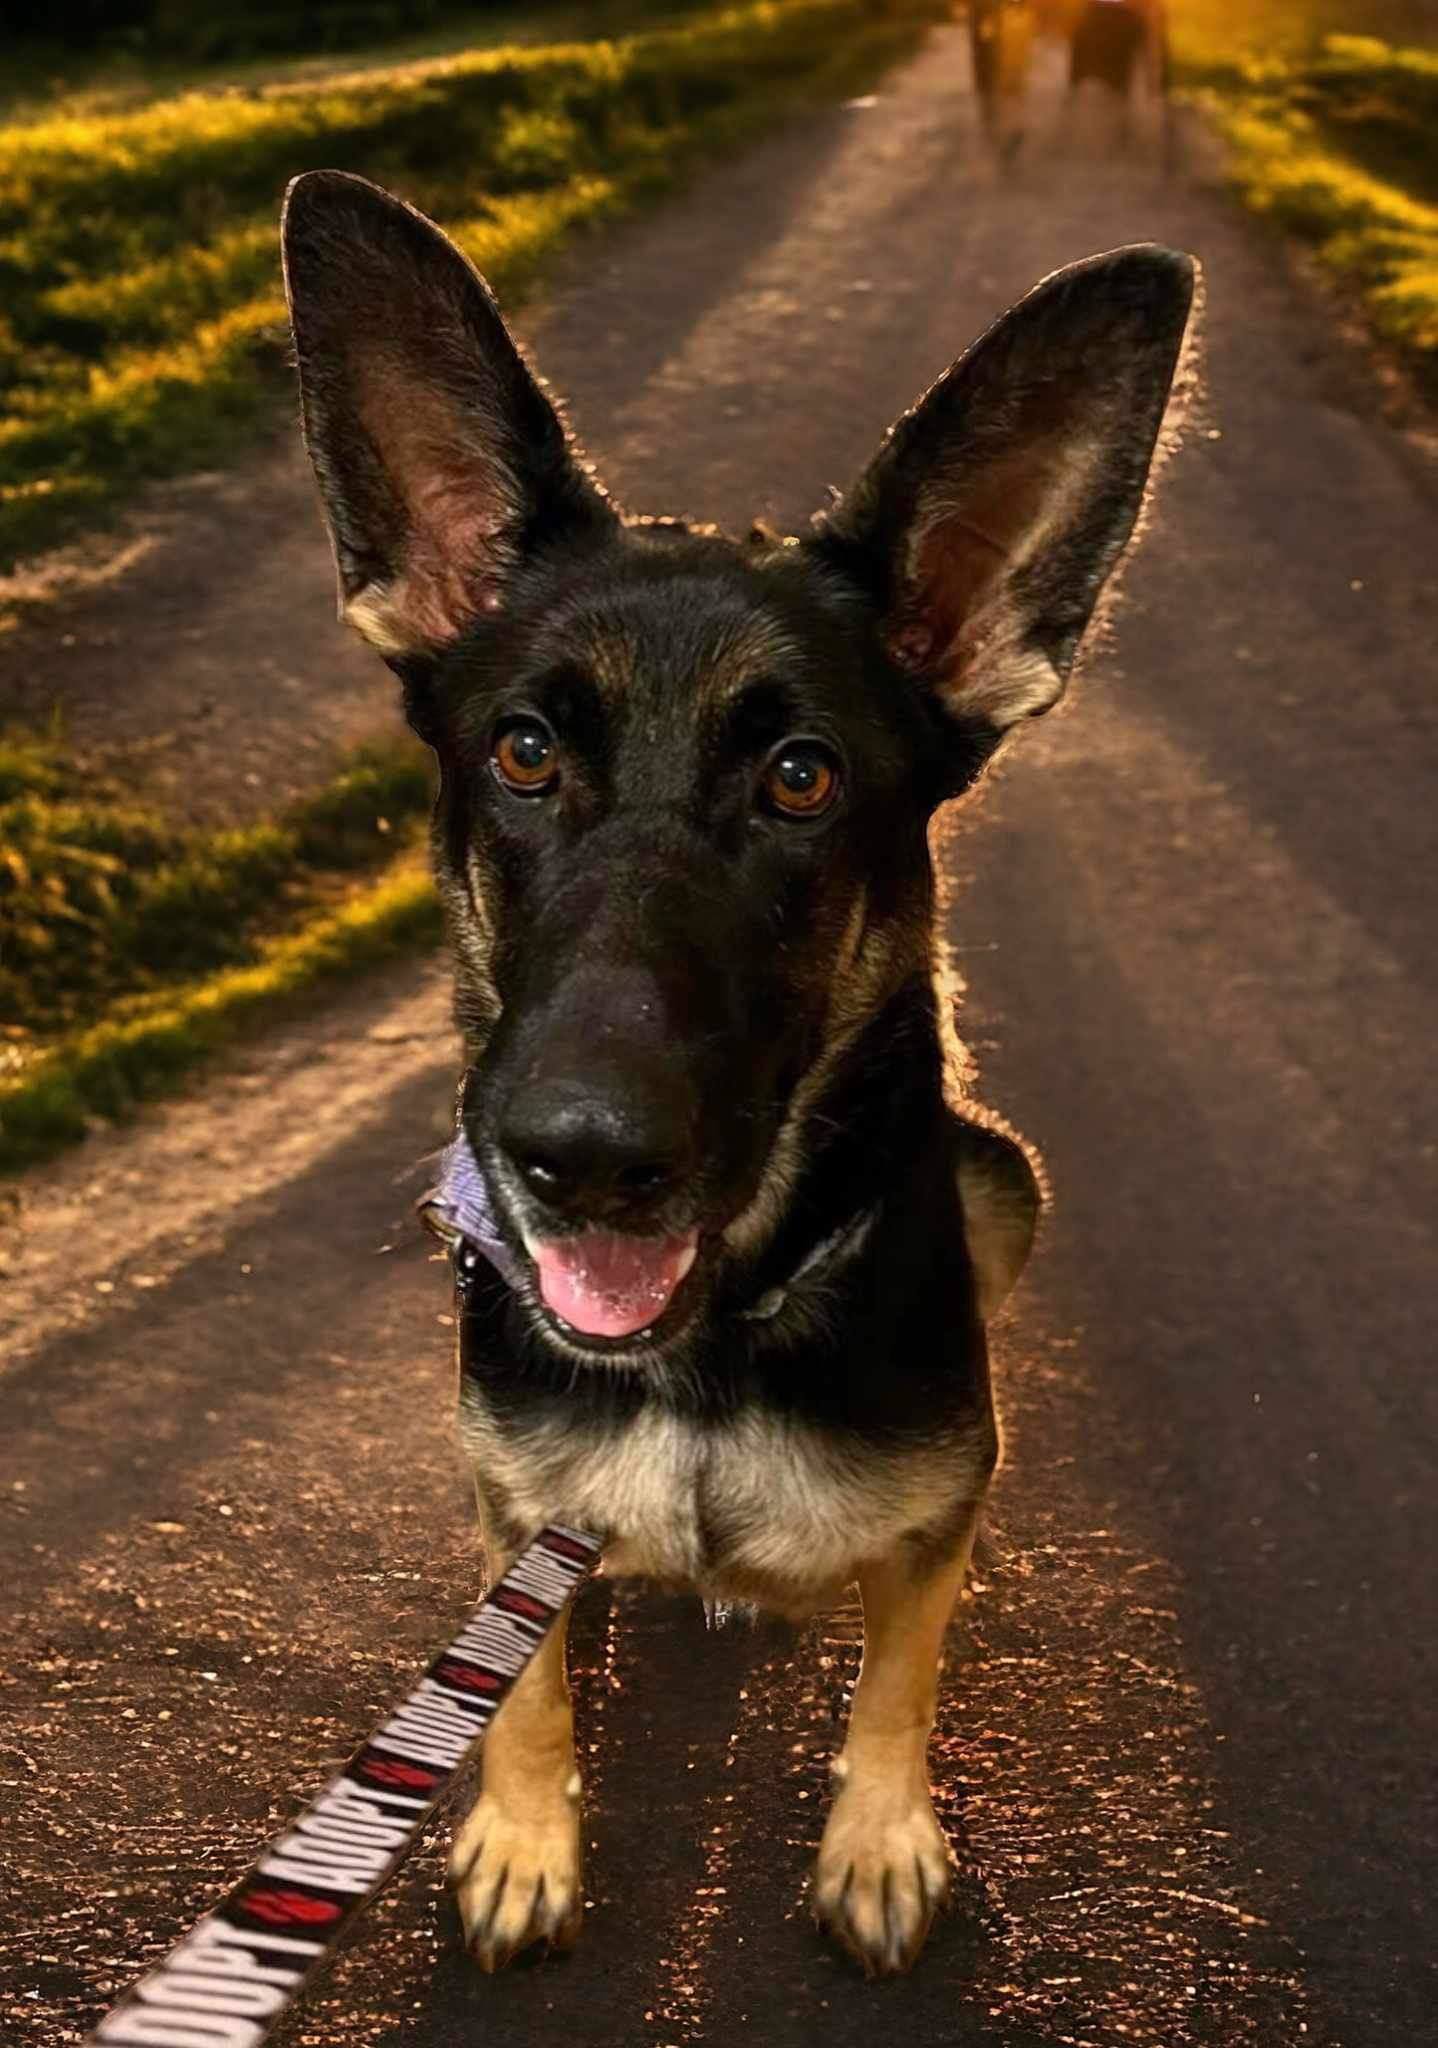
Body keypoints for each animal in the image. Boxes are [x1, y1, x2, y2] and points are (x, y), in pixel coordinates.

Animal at [278, 180, 1196, 1982]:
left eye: (798, 778)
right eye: (522, 752)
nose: (576, 1157)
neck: (703, 1352)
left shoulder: (929, 1523)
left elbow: (899, 1671)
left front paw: (879, 1836)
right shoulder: (513, 1505)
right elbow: (518, 1683)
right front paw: (522, 1829)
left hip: (999, 1179)